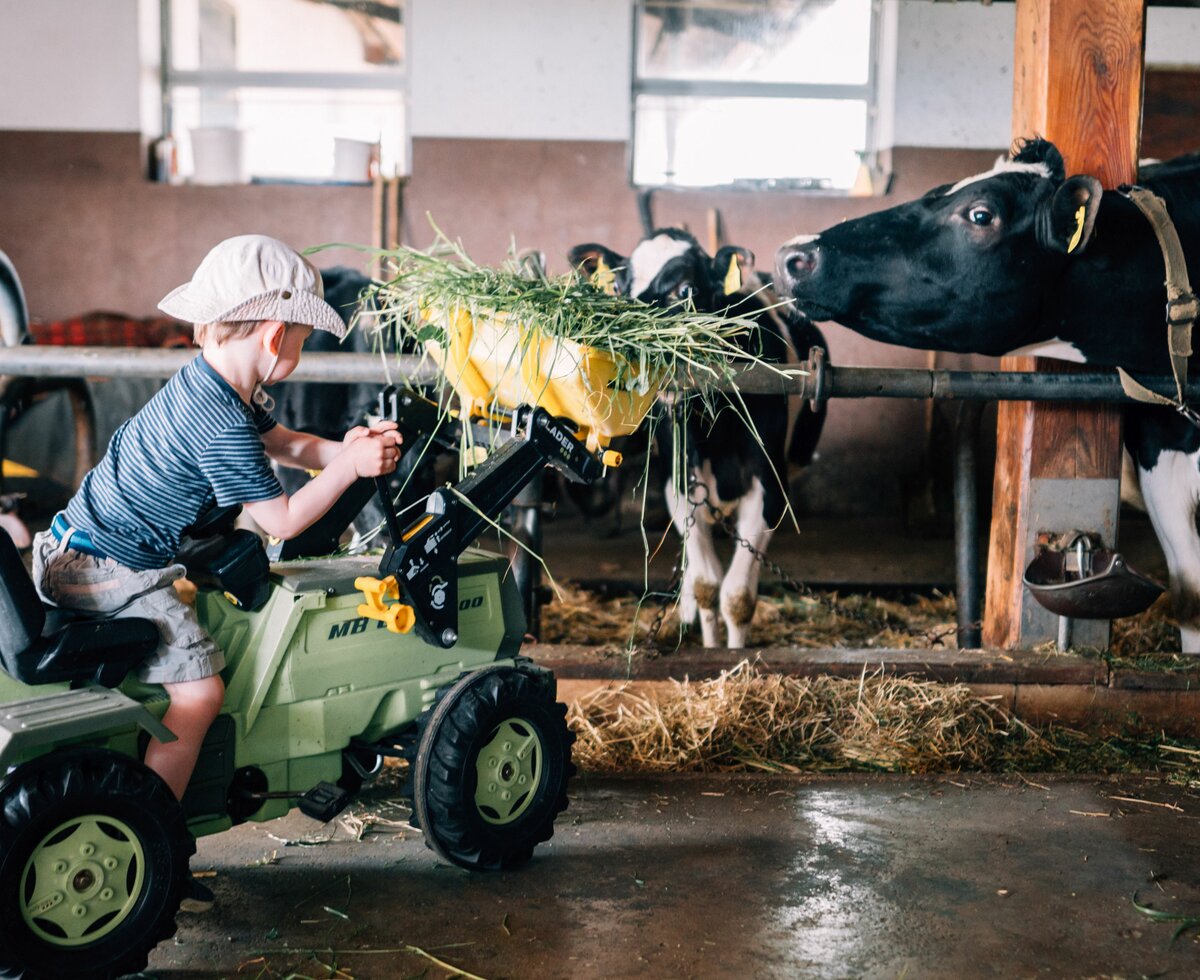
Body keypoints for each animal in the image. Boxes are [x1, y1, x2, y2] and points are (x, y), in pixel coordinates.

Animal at [566, 225, 820, 647]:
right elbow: (705, 585)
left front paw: (732, 654)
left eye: (685, 289)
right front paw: (708, 642)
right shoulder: (681, 484)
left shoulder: (769, 490)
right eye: (618, 285)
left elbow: (737, 595)